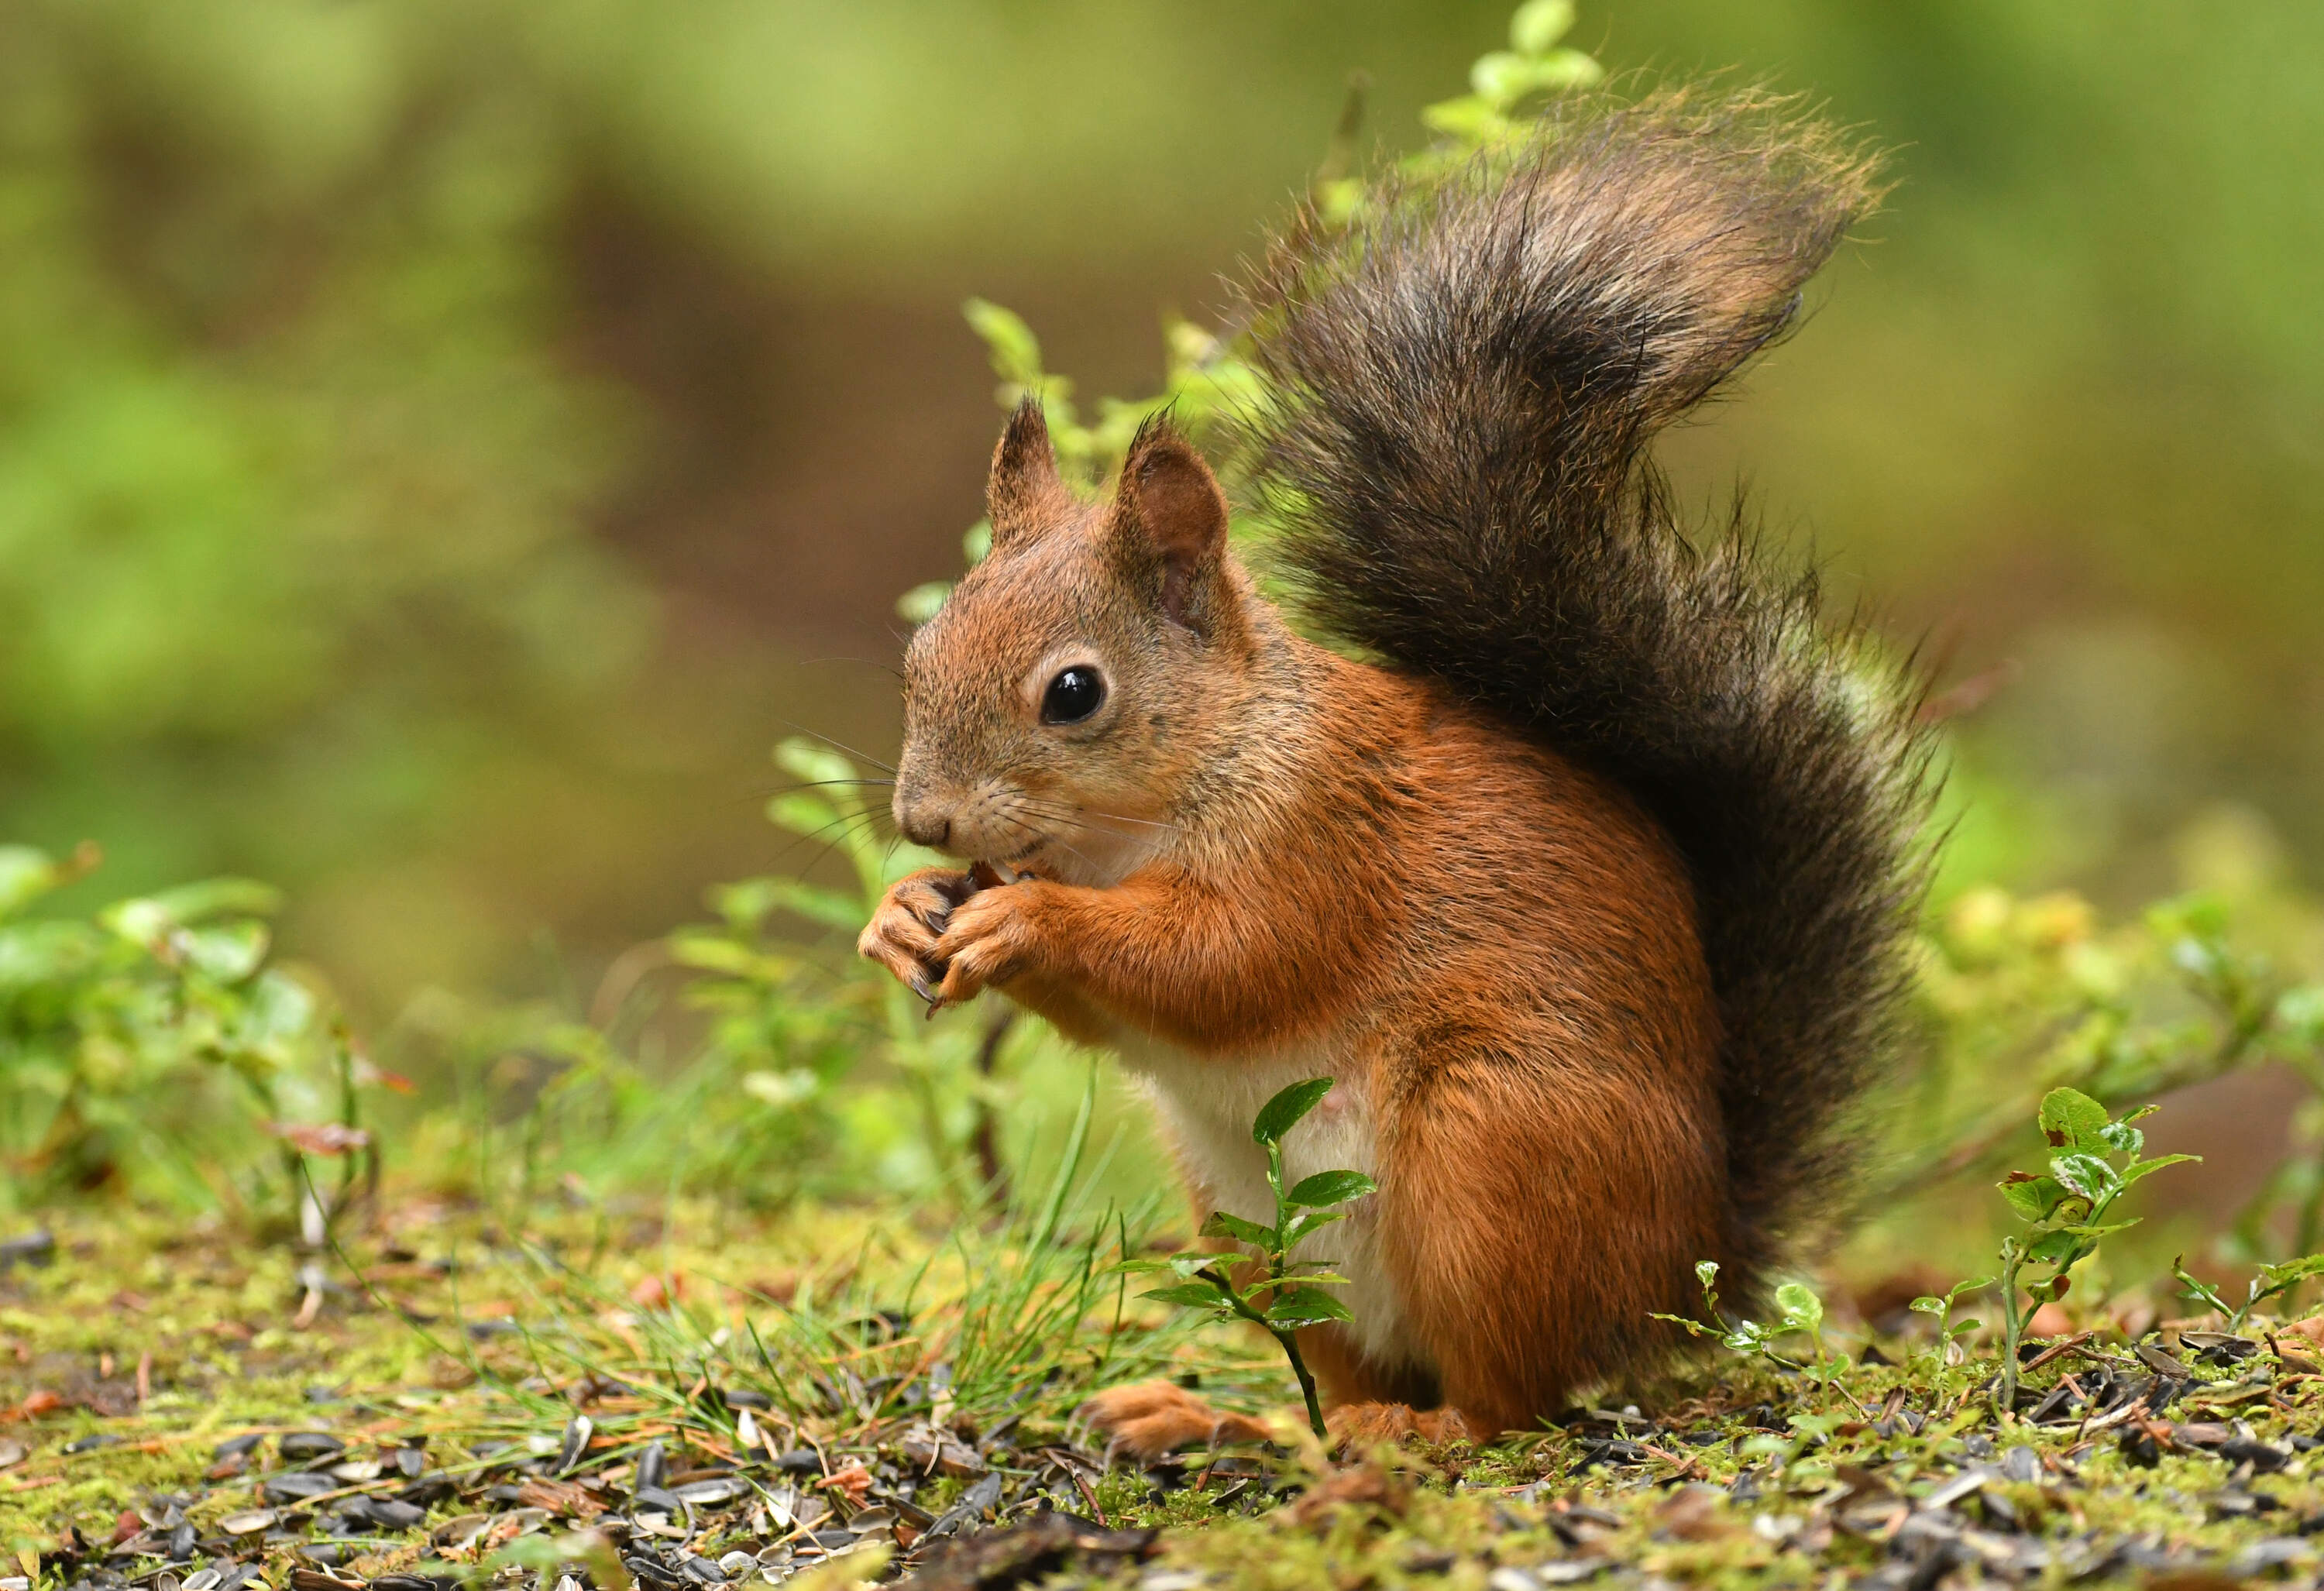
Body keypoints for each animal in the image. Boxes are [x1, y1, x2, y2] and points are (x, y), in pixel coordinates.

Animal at [865, 90, 1934, 1449]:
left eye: (1073, 693)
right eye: (919, 650)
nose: (924, 820)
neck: (1157, 804)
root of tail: (1684, 1276)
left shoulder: (1323, 840)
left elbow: (1222, 962)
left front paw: (1027, 920)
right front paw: (901, 916)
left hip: (1492, 1153)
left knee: (1511, 1396)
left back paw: (1417, 1433)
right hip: (1253, 1222)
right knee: (1343, 1371)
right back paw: (1234, 1421)